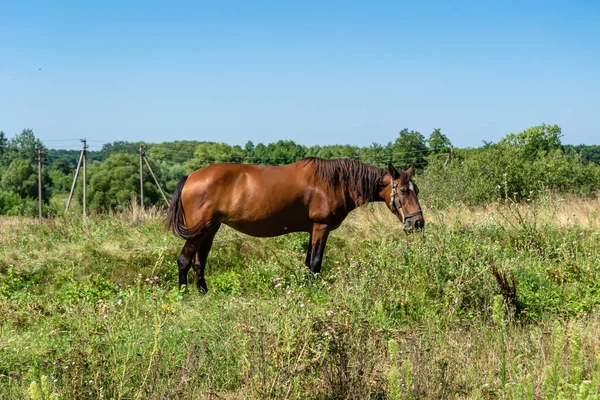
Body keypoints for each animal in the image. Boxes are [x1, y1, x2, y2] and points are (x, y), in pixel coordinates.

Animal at [166, 158, 424, 292]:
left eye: (417, 190)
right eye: (403, 190)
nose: (418, 223)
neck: (335, 182)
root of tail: (190, 177)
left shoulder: (312, 229)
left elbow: (308, 264)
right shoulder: (321, 227)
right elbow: (316, 263)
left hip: (210, 229)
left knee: (199, 262)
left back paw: (203, 292)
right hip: (200, 229)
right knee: (184, 260)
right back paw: (183, 294)